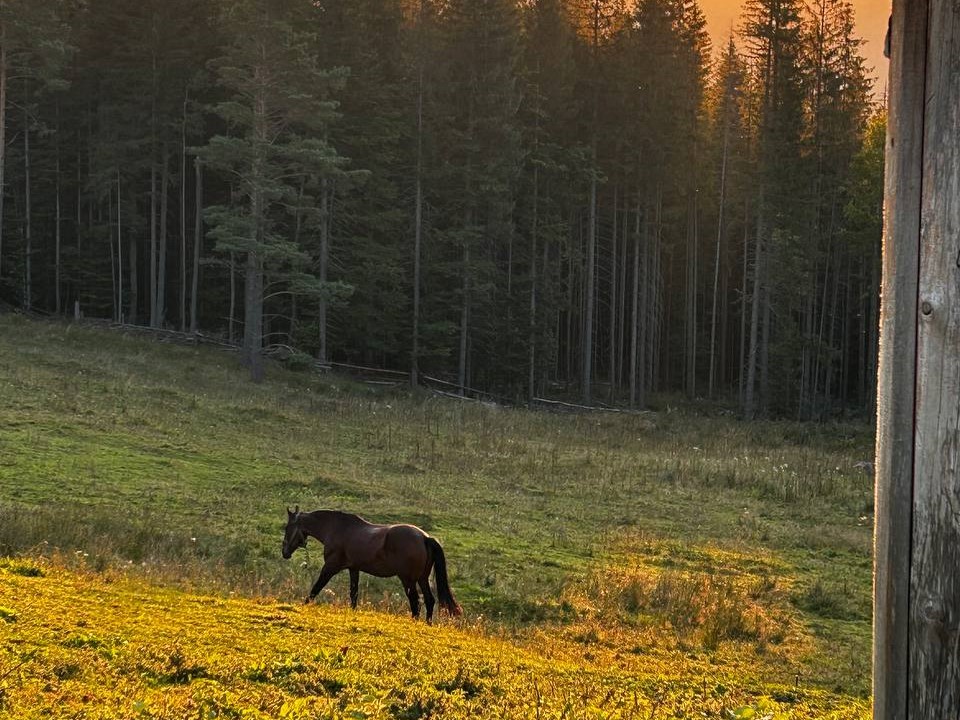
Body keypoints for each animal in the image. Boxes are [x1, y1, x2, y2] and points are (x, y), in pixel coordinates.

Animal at [280, 510, 464, 620]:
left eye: (287, 527)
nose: (285, 552)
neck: (336, 529)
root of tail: (425, 537)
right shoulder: (354, 569)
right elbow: (353, 593)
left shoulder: (330, 567)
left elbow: (316, 588)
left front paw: (303, 605)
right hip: (422, 579)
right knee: (429, 600)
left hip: (408, 580)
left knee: (415, 602)